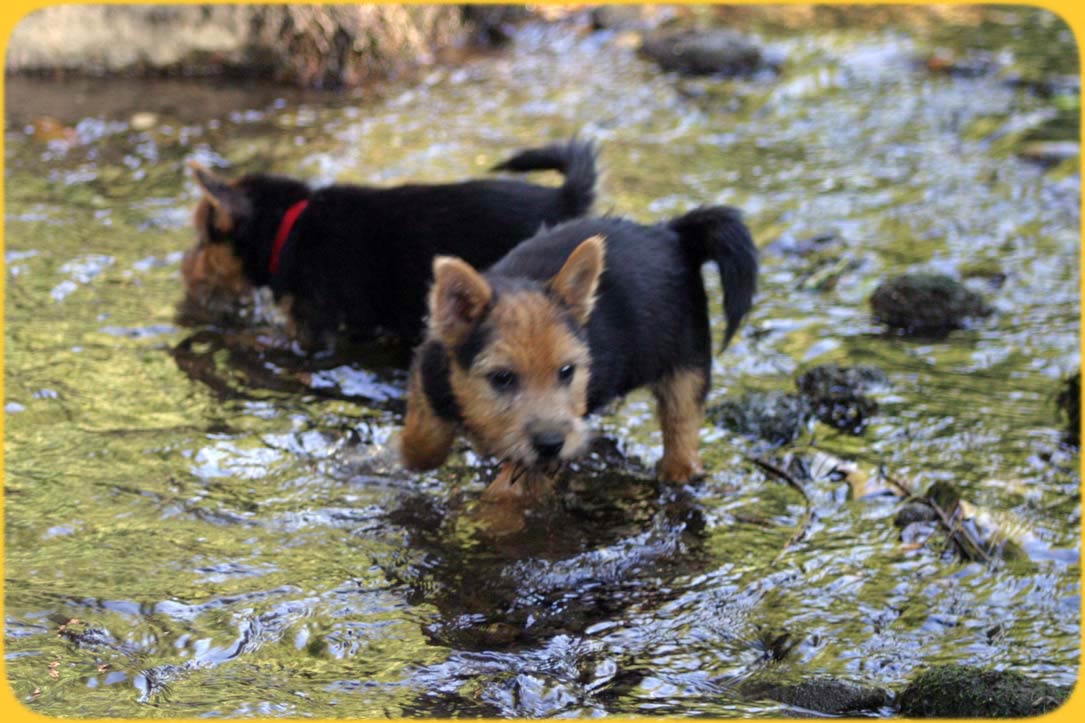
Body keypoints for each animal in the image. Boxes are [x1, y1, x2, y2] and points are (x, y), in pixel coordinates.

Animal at [399, 205, 755, 492]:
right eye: (501, 378)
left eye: (567, 371)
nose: (552, 443)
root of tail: (672, 234)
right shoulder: (428, 369)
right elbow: (423, 432)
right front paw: (412, 454)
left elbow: (511, 490)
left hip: (686, 361)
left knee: (682, 420)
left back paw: (678, 471)